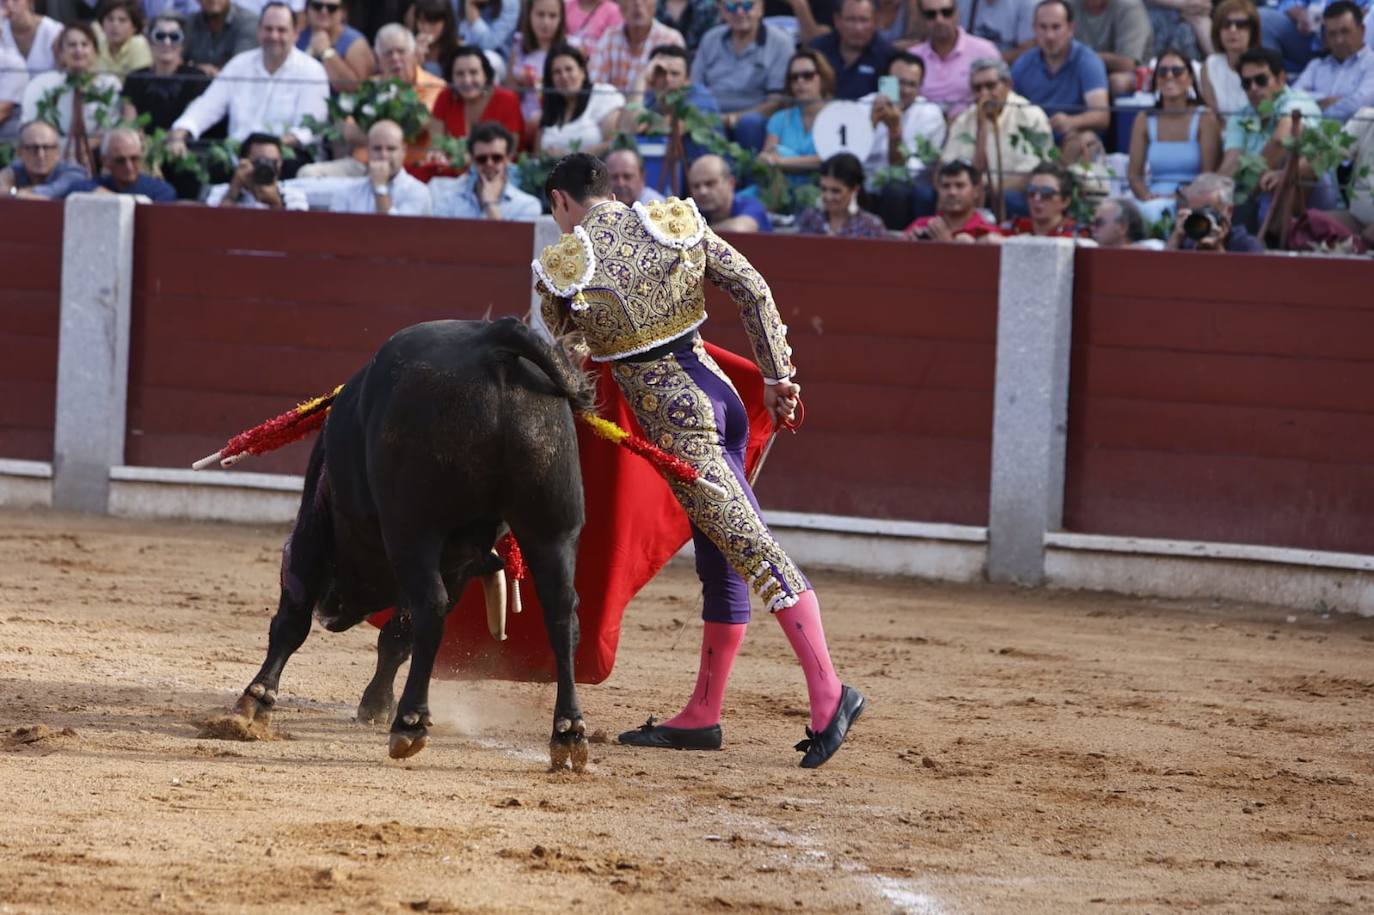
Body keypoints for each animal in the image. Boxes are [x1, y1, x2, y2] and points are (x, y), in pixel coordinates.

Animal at [232, 317, 596, 763]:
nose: (331, 612)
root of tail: (493, 340)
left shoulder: (316, 529)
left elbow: (292, 619)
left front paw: (255, 701)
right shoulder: (459, 562)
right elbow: (398, 635)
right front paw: (374, 704)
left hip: (414, 527)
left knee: (431, 607)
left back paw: (411, 722)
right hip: (552, 527)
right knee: (562, 612)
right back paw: (569, 731)